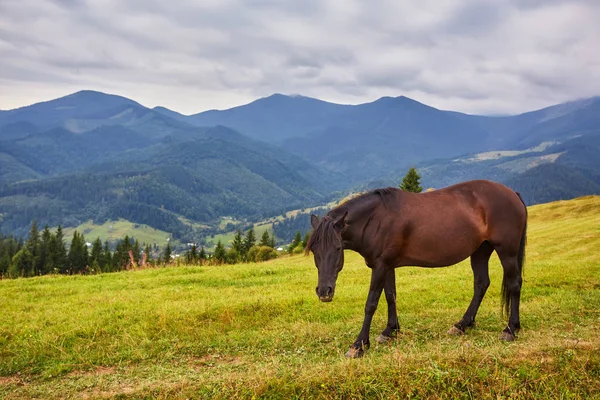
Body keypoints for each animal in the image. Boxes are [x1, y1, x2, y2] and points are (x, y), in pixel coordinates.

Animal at [308, 180, 528, 358]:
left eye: (337, 248)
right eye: (314, 250)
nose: (324, 291)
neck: (376, 220)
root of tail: (511, 193)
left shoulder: (380, 266)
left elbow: (371, 303)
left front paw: (359, 345)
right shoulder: (387, 265)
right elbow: (390, 296)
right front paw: (390, 331)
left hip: (506, 251)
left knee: (514, 284)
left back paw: (510, 329)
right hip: (480, 251)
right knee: (481, 284)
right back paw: (462, 325)